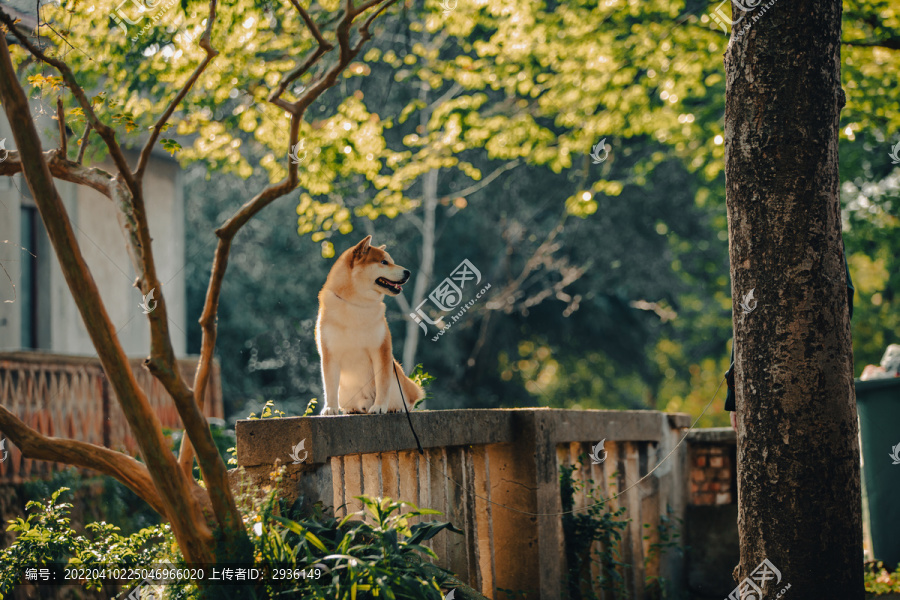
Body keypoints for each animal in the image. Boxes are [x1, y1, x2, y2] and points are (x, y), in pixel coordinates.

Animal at [316, 237, 426, 414]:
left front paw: (380, 406)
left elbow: (382, 384)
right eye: (384, 262)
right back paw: (351, 409)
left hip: (402, 383)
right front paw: (330, 408)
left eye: (390, 261)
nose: (408, 272)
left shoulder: (380, 350)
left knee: (408, 400)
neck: (356, 304)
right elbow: (329, 386)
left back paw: (397, 408)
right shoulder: (329, 353)